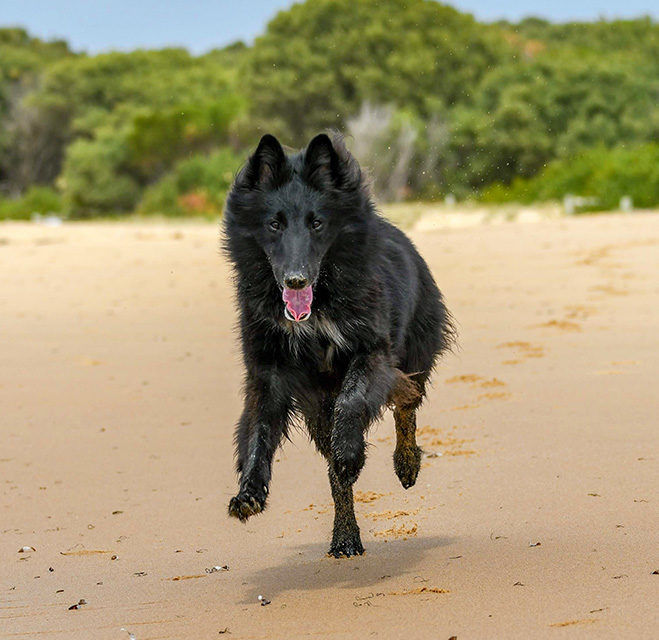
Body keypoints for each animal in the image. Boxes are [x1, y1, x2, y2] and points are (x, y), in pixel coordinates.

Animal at [222, 134, 454, 556]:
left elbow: (353, 400)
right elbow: (258, 430)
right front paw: (248, 492)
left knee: (407, 405)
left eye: (317, 223)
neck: (320, 306)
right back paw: (345, 537)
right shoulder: (269, 373)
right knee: (335, 474)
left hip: (412, 356)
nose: (296, 280)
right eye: (274, 224)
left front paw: (351, 453)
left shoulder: (371, 353)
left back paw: (405, 464)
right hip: (317, 409)